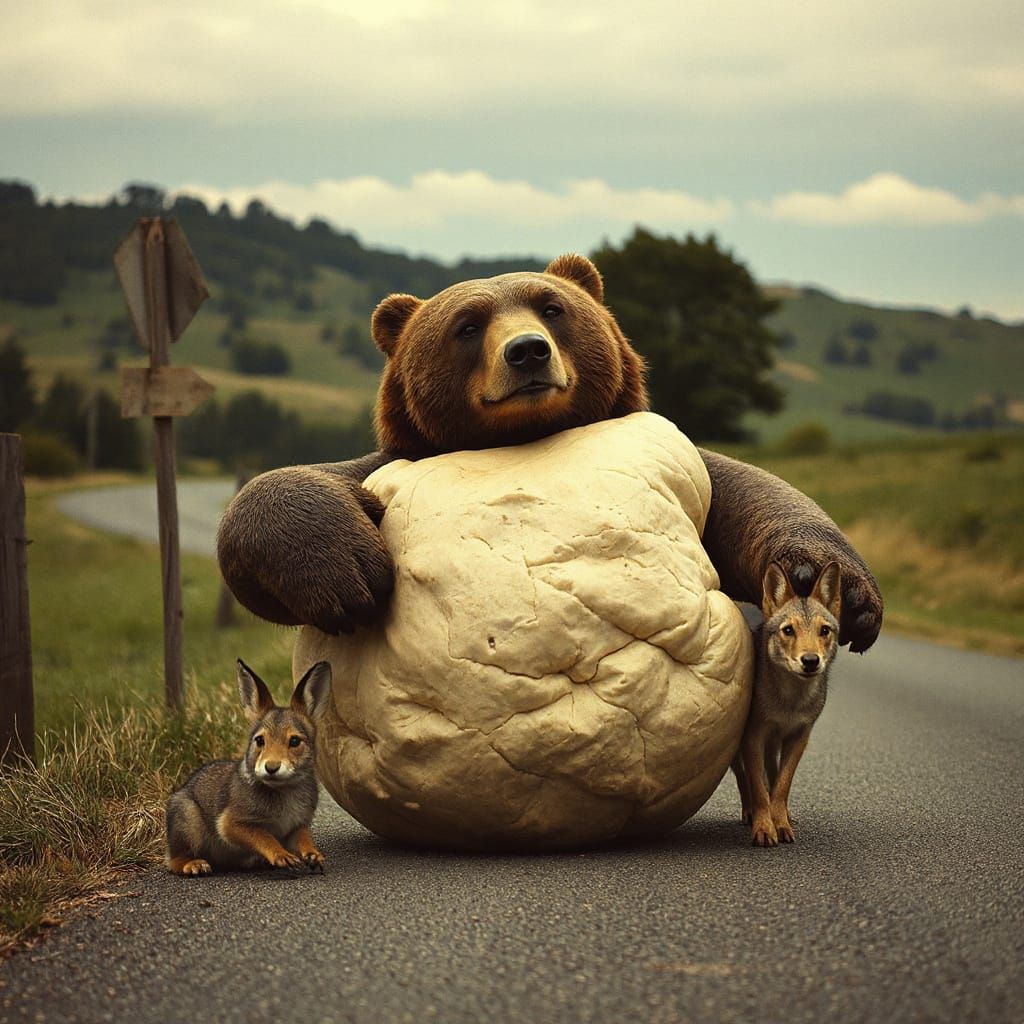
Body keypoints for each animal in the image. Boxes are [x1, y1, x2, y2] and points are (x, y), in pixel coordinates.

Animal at [217, 253, 883, 654]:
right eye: (466, 325)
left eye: (552, 307)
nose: (528, 351)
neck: (524, 435)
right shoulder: (396, 457)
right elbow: (282, 499)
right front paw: (346, 577)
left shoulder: (677, 453)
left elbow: (753, 495)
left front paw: (837, 589)